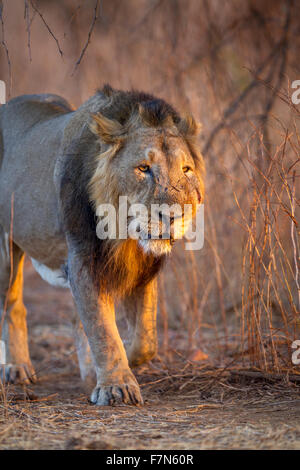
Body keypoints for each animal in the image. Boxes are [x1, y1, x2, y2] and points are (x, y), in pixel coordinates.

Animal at [0, 85, 205, 404]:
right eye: (143, 168)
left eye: (186, 169)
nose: (174, 215)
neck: (125, 235)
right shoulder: (82, 260)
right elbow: (103, 330)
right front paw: (116, 387)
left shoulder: (143, 269)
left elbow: (145, 339)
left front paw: (123, 362)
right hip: (5, 249)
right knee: (13, 304)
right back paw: (16, 368)